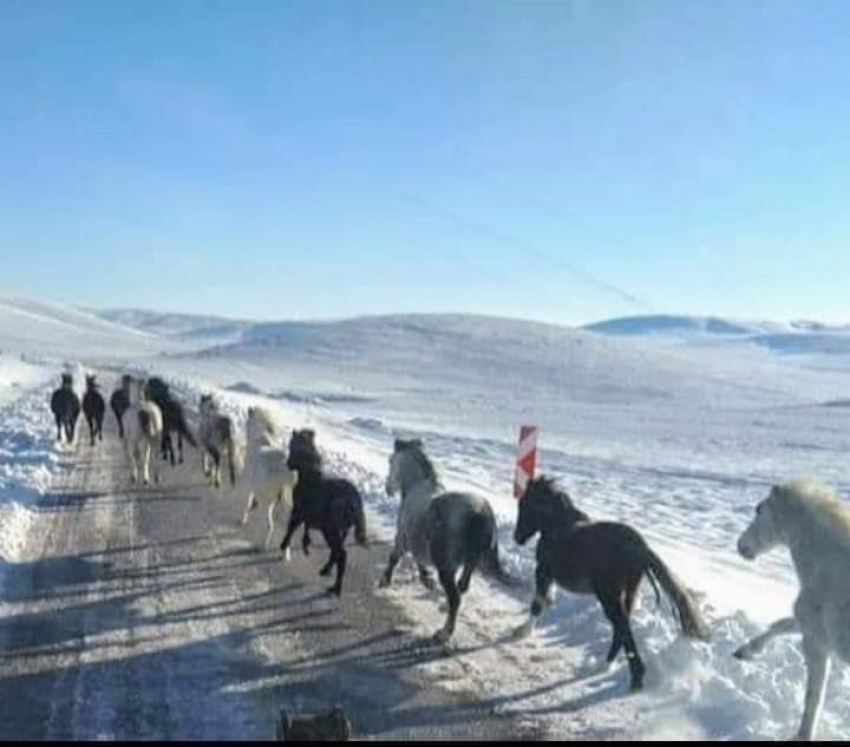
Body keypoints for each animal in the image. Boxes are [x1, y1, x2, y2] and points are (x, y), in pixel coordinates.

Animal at [242, 410, 302, 556]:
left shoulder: (248, 486)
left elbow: (247, 502)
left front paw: (244, 519)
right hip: (288, 504)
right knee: (288, 529)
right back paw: (285, 554)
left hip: (269, 501)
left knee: (270, 525)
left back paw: (263, 546)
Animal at [282, 430, 368, 600]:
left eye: (292, 447)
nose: (288, 463)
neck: (310, 477)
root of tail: (354, 501)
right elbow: (303, 530)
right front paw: (305, 546)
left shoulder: (298, 511)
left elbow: (291, 527)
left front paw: (283, 545)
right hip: (341, 529)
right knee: (336, 552)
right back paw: (325, 571)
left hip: (332, 529)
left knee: (342, 554)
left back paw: (336, 589)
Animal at [380, 438, 512, 644]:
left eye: (390, 461)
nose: (388, 488)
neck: (416, 488)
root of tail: (480, 513)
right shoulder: (417, 542)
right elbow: (418, 560)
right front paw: (426, 580)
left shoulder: (403, 538)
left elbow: (394, 557)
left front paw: (385, 580)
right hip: (470, 563)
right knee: (462, 588)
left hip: (446, 567)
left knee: (455, 597)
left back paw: (444, 632)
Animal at [512, 476, 704, 692]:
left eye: (525, 504)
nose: (517, 538)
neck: (556, 526)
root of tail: (641, 548)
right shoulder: (549, 576)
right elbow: (546, 600)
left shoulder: (543, 572)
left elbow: (537, 603)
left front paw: (522, 631)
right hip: (629, 592)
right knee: (621, 626)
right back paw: (608, 666)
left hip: (609, 595)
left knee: (622, 625)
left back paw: (631, 677)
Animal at [732, 482, 850, 740]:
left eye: (758, 509)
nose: (741, 545)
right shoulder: (809, 626)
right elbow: (780, 624)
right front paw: (745, 651)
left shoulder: (817, 641)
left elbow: (813, 697)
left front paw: (803, 735)